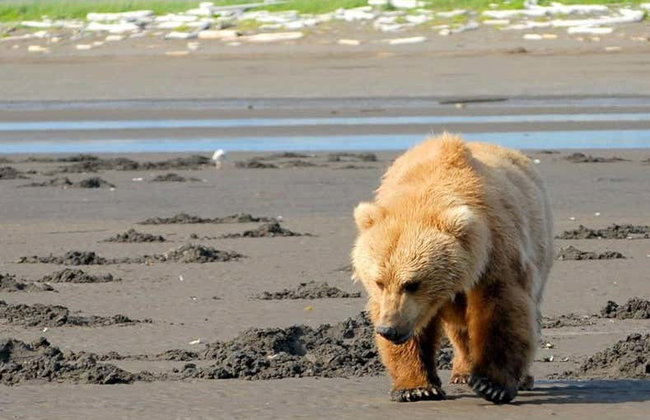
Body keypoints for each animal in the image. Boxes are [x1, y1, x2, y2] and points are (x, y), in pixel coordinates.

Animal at [351, 134, 553, 404]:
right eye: (379, 281)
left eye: (413, 283)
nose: (389, 330)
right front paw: (416, 387)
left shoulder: (497, 253)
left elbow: (502, 310)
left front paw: (492, 385)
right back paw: (463, 371)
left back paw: (519, 378)